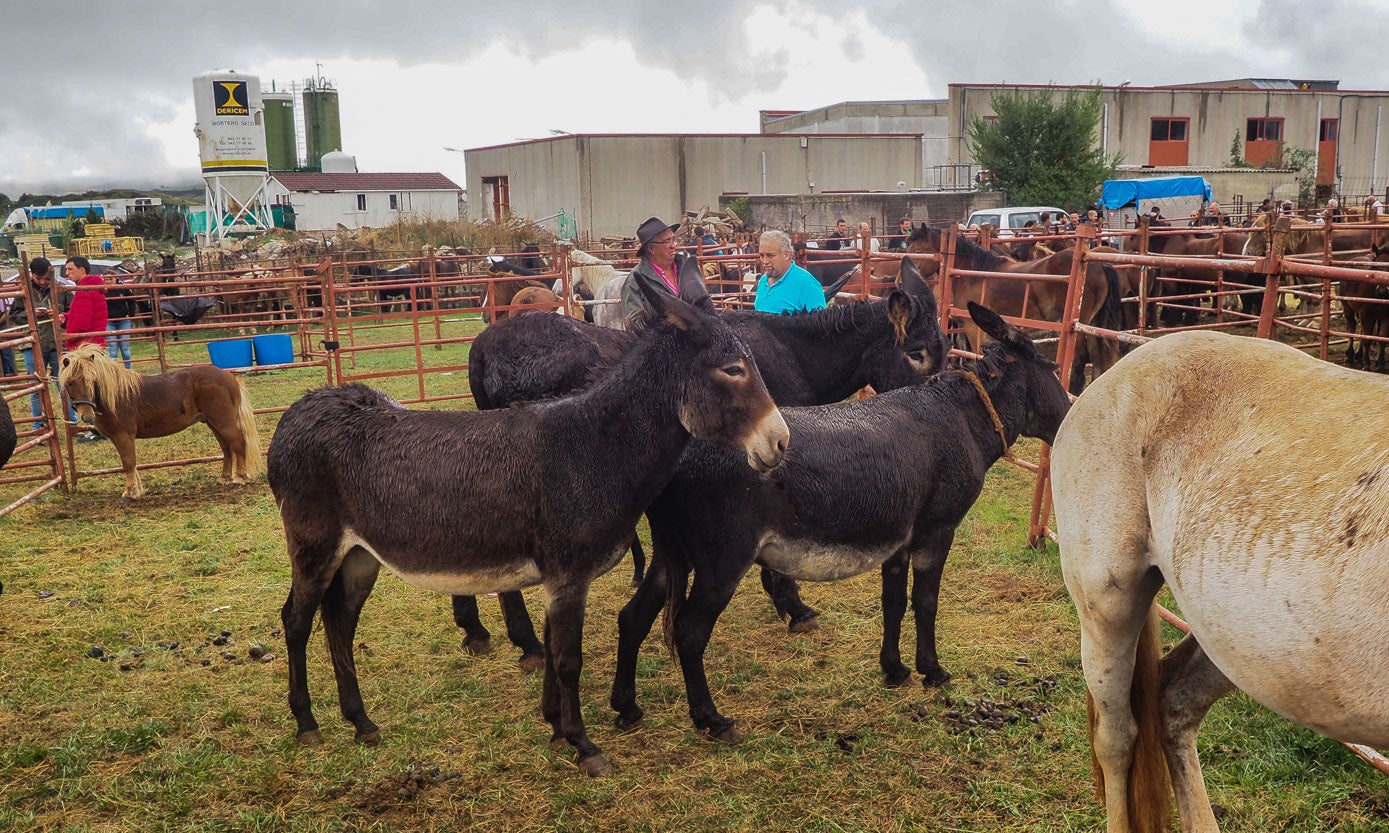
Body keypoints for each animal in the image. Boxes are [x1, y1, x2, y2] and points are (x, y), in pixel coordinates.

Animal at [905, 224, 1122, 394]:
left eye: (919, 251)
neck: (975, 274)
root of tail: (1099, 265)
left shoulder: (973, 328)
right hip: (1093, 324)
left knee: (1079, 360)